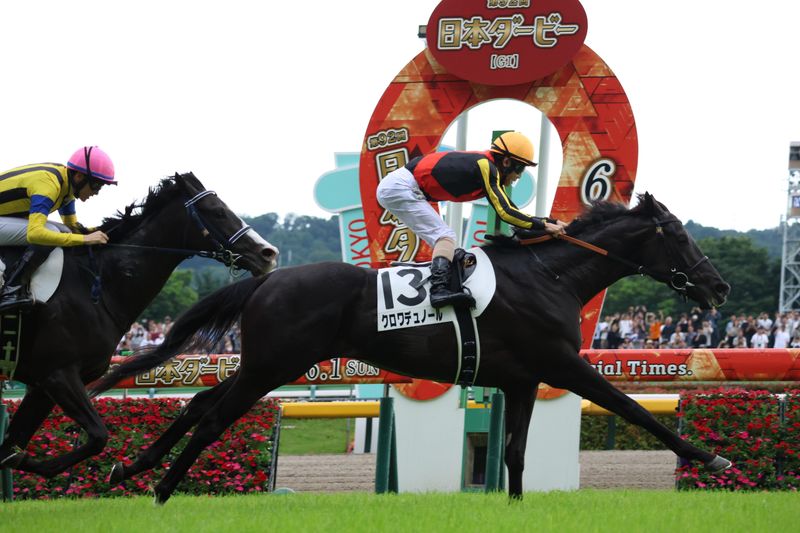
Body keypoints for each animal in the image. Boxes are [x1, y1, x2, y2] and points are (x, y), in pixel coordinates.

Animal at [0, 172, 278, 478]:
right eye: (217, 211)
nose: (268, 253)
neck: (96, 283)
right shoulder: (59, 375)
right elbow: (98, 437)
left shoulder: (43, 386)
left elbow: (12, 446)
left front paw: (19, 459)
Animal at [92, 192, 731, 503]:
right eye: (679, 236)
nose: (719, 286)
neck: (551, 276)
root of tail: (267, 279)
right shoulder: (562, 363)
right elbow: (630, 409)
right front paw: (712, 458)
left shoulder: (524, 379)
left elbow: (515, 453)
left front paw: (517, 506)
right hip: (271, 367)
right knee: (211, 420)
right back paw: (160, 490)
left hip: (267, 363)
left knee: (201, 404)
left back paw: (133, 467)